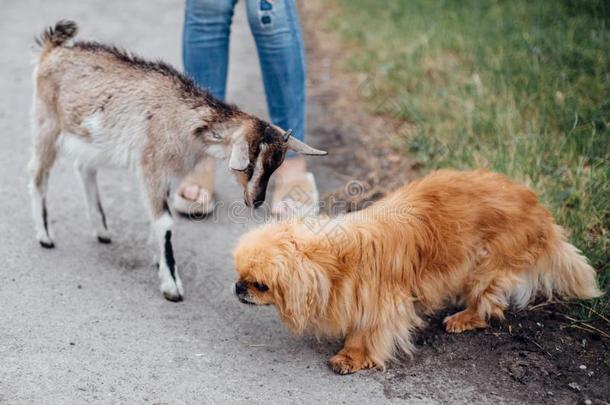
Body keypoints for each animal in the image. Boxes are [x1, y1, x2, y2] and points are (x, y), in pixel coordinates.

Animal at [28, 21, 326, 300]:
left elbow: (158, 218)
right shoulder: (152, 168)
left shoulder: (167, 173)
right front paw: (171, 284)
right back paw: (45, 236)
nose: (256, 201)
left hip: (91, 138)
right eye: (250, 164)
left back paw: (101, 231)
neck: (183, 118)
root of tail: (52, 50)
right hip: (47, 123)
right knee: (38, 174)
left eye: (277, 165)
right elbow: (165, 222)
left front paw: (157, 258)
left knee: (83, 167)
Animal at [230, 168, 600, 372]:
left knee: (487, 302)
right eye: (240, 276)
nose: (238, 288)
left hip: (487, 267)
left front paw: (352, 357)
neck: (336, 260)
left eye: (260, 285)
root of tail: (538, 207)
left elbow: (368, 336)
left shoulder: (382, 307)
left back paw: (463, 318)